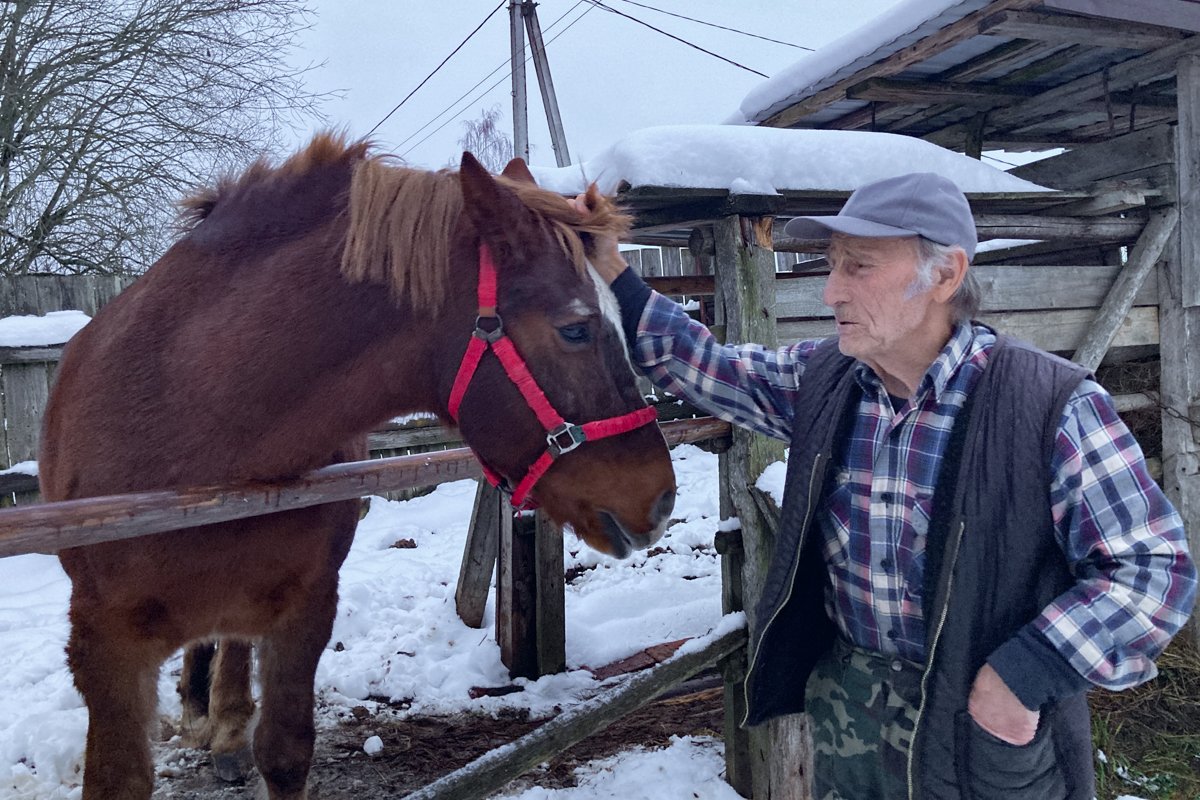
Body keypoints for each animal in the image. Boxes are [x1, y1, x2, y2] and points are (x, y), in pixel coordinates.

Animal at [39, 134, 676, 796]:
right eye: (575, 329)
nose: (660, 498)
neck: (191, 435)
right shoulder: (105, 646)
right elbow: (118, 779)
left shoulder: (304, 610)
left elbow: (284, 754)